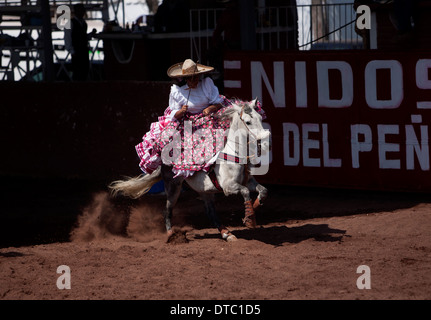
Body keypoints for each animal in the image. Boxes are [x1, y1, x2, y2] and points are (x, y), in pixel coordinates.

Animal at [109, 99, 270, 241]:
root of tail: (163, 163)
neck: (234, 153)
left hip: (205, 190)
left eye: (260, 118)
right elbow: (245, 192)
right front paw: (250, 219)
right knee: (167, 210)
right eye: (248, 122)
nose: (265, 143)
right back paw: (171, 235)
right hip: (173, 187)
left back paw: (226, 234)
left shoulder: (248, 181)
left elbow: (263, 190)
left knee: (211, 213)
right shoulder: (228, 187)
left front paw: (255, 207)